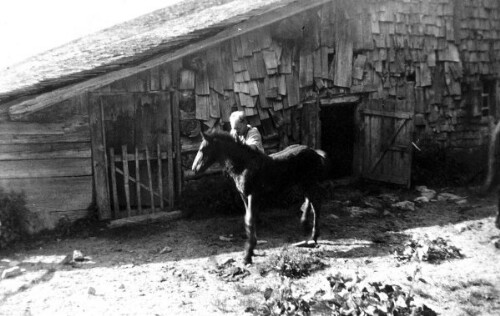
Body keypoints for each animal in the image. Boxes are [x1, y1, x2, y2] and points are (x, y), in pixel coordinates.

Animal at [190, 130, 328, 264]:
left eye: (202, 149)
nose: (194, 169)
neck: (244, 165)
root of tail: (314, 152)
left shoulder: (253, 195)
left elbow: (250, 220)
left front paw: (248, 254)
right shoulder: (244, 196)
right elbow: (250, 219)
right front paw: (251, 249)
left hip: (309, 182)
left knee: (316, 203)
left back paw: (314, 236)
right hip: (303, 183)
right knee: (309, 200)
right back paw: (305, 224)